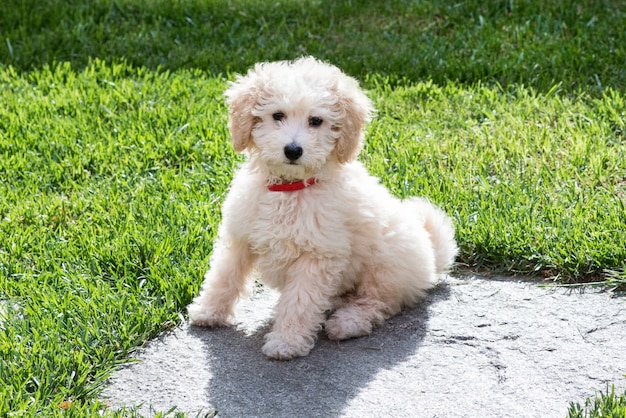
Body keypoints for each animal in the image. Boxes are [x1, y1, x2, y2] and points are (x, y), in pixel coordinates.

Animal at [188, 56, 456, 360]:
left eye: (316, 121)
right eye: (277, 115)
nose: (293, 150)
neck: (290, 189)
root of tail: (433, 261)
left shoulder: (316, 256)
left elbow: (299, 301)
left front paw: (287, 342)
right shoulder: (240, 237)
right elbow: (224, 276)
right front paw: (208, 311)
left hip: (386, 263)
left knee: (376, 302)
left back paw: (347, 322)